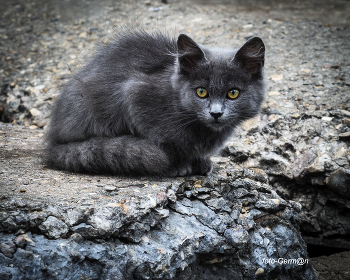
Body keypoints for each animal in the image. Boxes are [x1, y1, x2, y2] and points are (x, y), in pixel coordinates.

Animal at [44, 29, 266, 177]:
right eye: (201, 92)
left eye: (233, 93)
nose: (216, 113)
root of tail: (52, 142)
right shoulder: (135, 94)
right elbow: (164, 142)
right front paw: (178, 165)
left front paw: (200, 161)